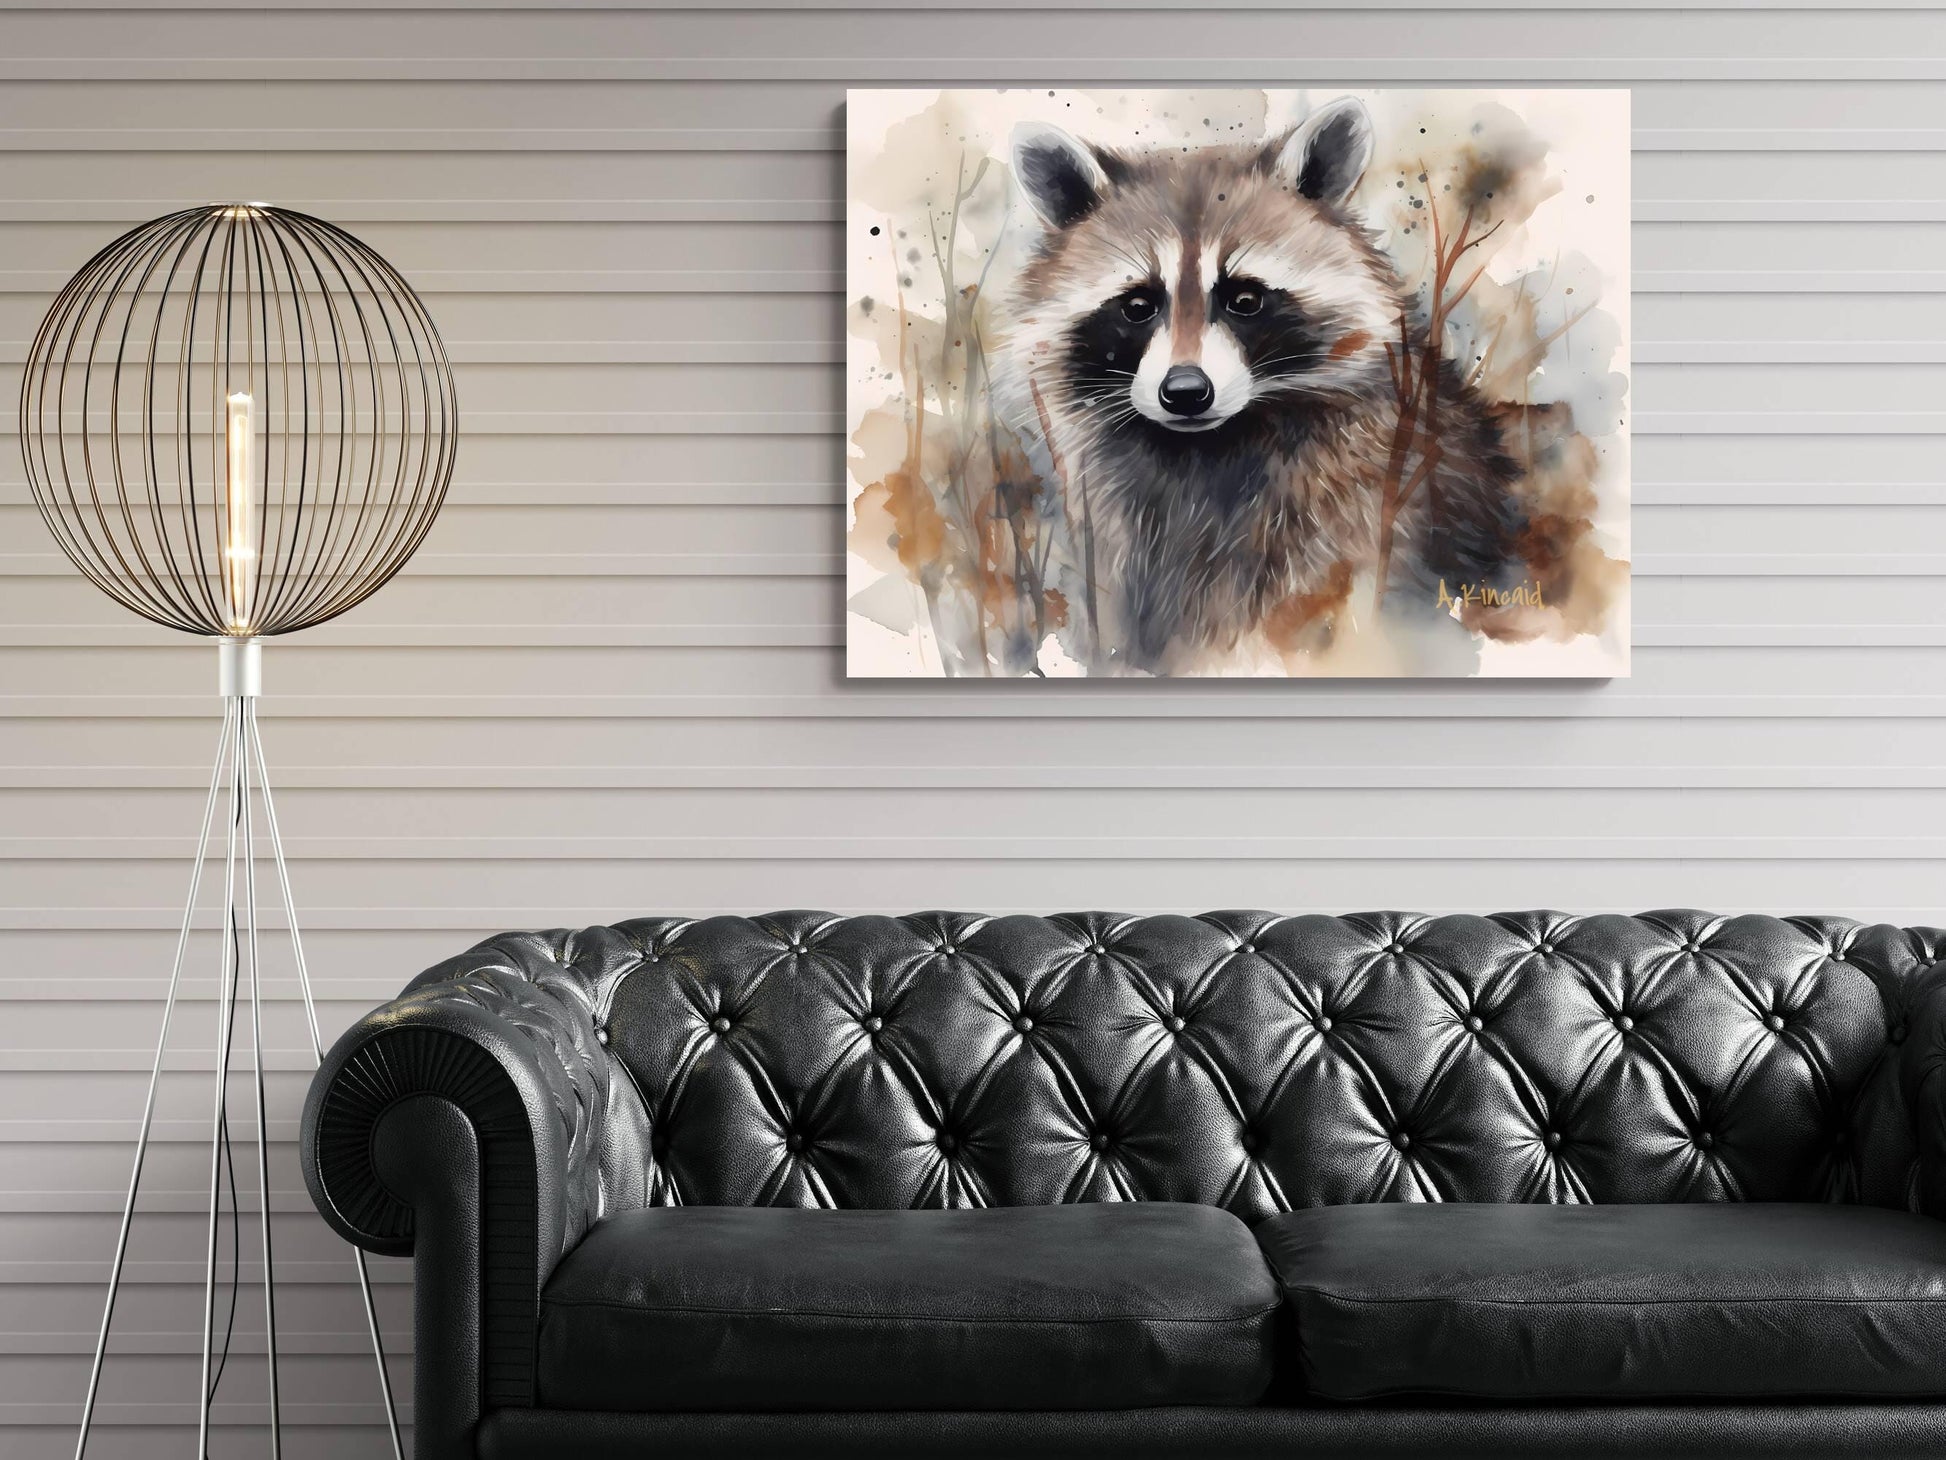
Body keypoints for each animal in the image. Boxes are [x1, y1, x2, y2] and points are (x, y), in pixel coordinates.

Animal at [997, 97, 1526, 672]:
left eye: (1245, 300)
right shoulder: (1121, 533)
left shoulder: (1365, 503)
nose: (1186, 392)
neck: (1204, 448)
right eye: (1137, 305)